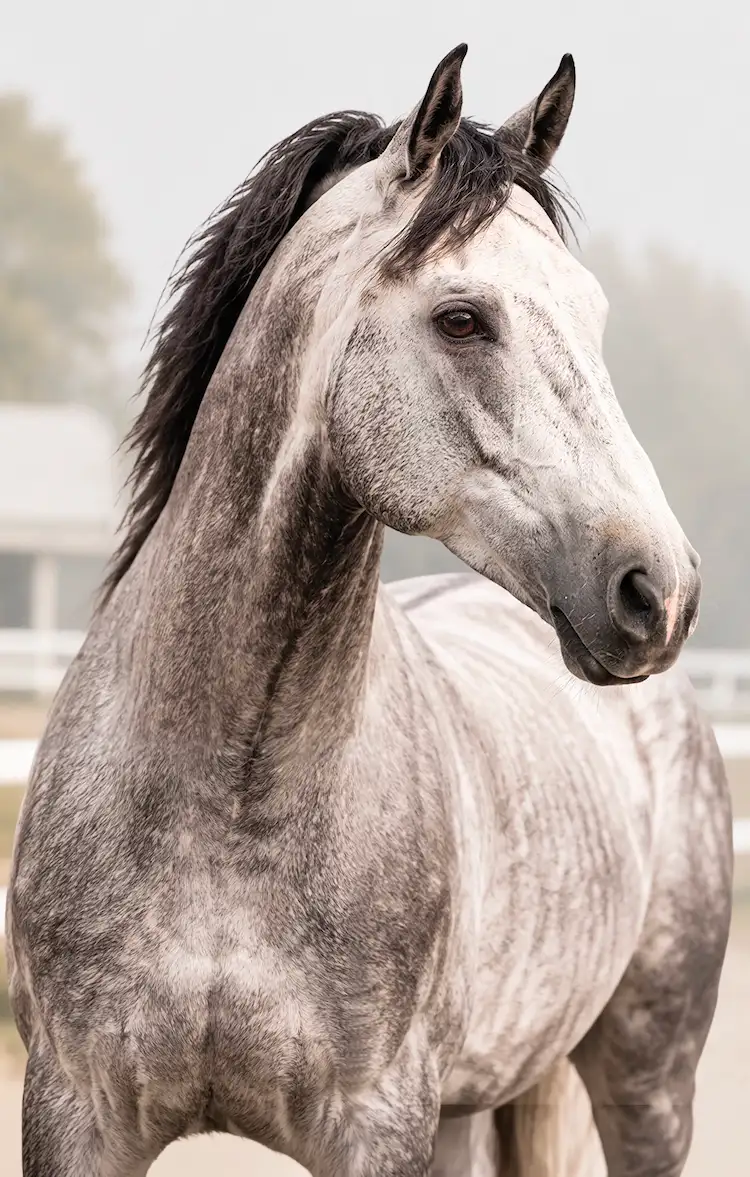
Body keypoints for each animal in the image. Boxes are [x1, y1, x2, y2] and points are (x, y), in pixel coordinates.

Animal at [7, 44, 733, 1177]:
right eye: (462, 317)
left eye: (595, 313)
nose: (658, 588)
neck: (229, 804)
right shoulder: (74, 1113)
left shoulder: (376, 1124)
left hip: (647, 1084)